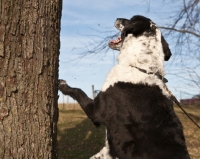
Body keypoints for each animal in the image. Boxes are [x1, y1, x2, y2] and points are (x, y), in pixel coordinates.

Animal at [58, 15, 190, 159]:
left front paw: (62, 84)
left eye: (131, 18)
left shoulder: (96, 111)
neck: (142, 68)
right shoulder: (110, 150)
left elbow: (78, 91)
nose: (117, 17)